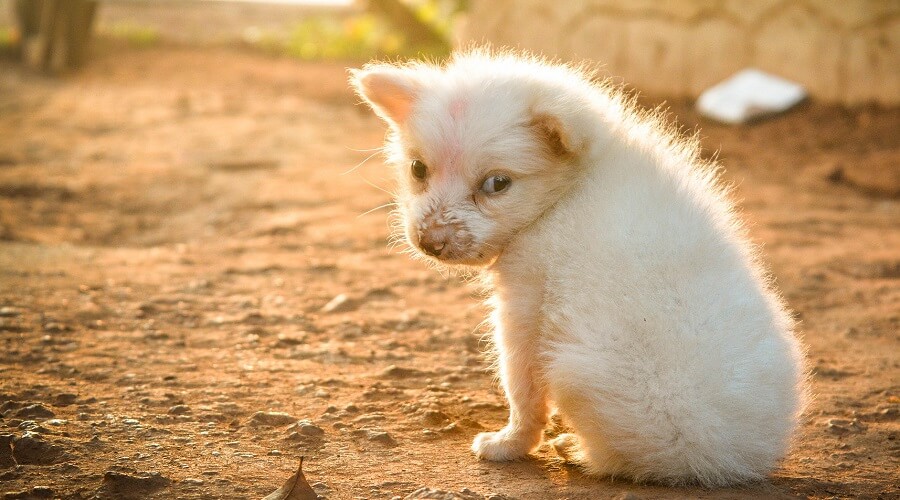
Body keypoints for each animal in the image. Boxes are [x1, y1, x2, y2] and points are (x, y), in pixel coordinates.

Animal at [348, 48, 804, 486]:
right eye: (418, 169)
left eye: (497, 184)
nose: (430, 242)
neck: (568, 192)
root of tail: (716, 463)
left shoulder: (525, 306)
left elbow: (522, 390)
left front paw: (508, 443)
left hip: (575, 368)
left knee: (621, 458)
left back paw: (576, 450)